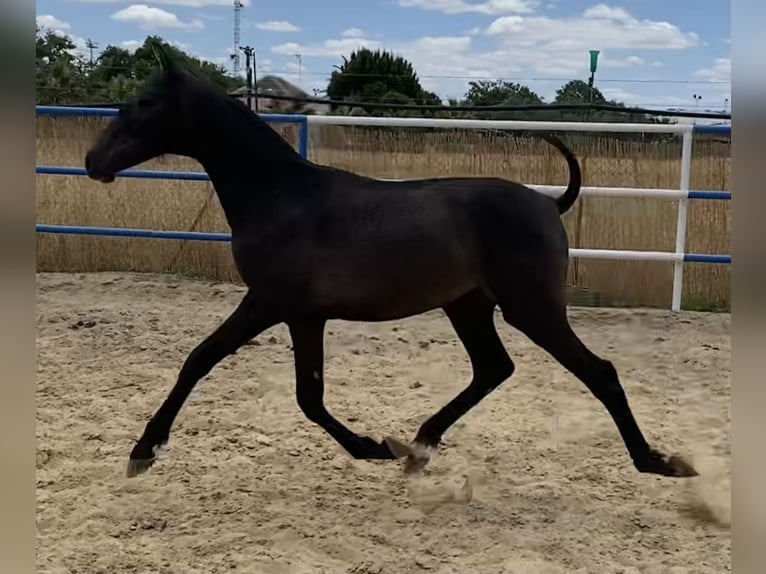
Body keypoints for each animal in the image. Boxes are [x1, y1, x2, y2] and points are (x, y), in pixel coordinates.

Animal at [81, 47, 700, 482]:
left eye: (143, 104)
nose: (92, 162)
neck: (280, 195)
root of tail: (548, 202)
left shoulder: (267, 302)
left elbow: (200, 361)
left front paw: (143, 451)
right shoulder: (304, 315)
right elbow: (308, 397)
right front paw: (374, 447)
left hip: (531, 308)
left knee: (598, 372)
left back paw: (656, 462)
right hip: (468, 306)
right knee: (493, 369)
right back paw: (418, 446)